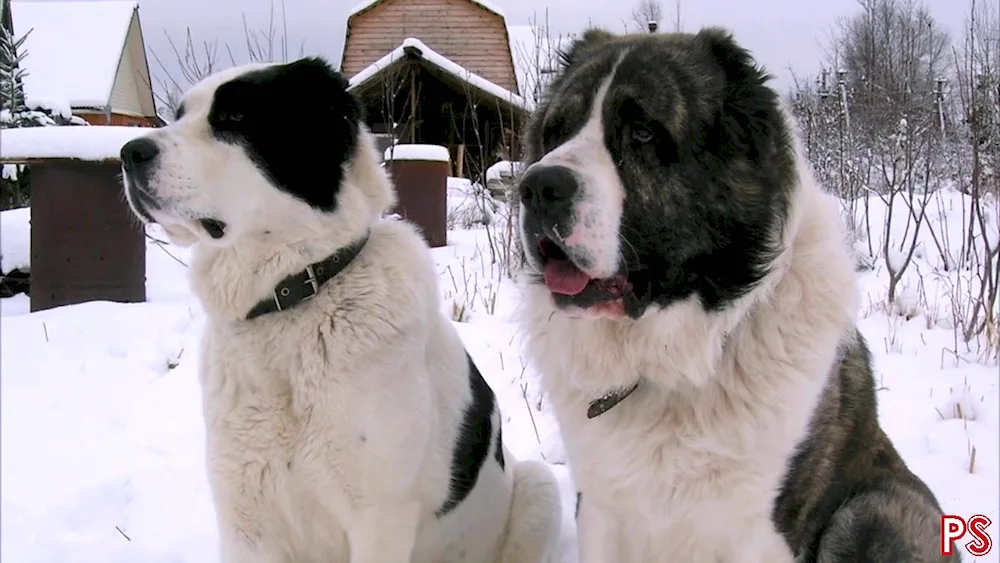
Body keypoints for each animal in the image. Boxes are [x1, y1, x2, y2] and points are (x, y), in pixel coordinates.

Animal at [117, 56, 564, 563]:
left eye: (235, 117)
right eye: (178, 115)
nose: (129, 151)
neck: (293, 298)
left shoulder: (379, 519)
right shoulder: (246, 517)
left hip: (538, 487)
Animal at [520, 27, 948, 563]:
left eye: (642, 133)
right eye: (556, 132)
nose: (537, 186)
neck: (672, 357)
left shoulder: (755, 532)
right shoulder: (600, 509)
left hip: (876, 507)